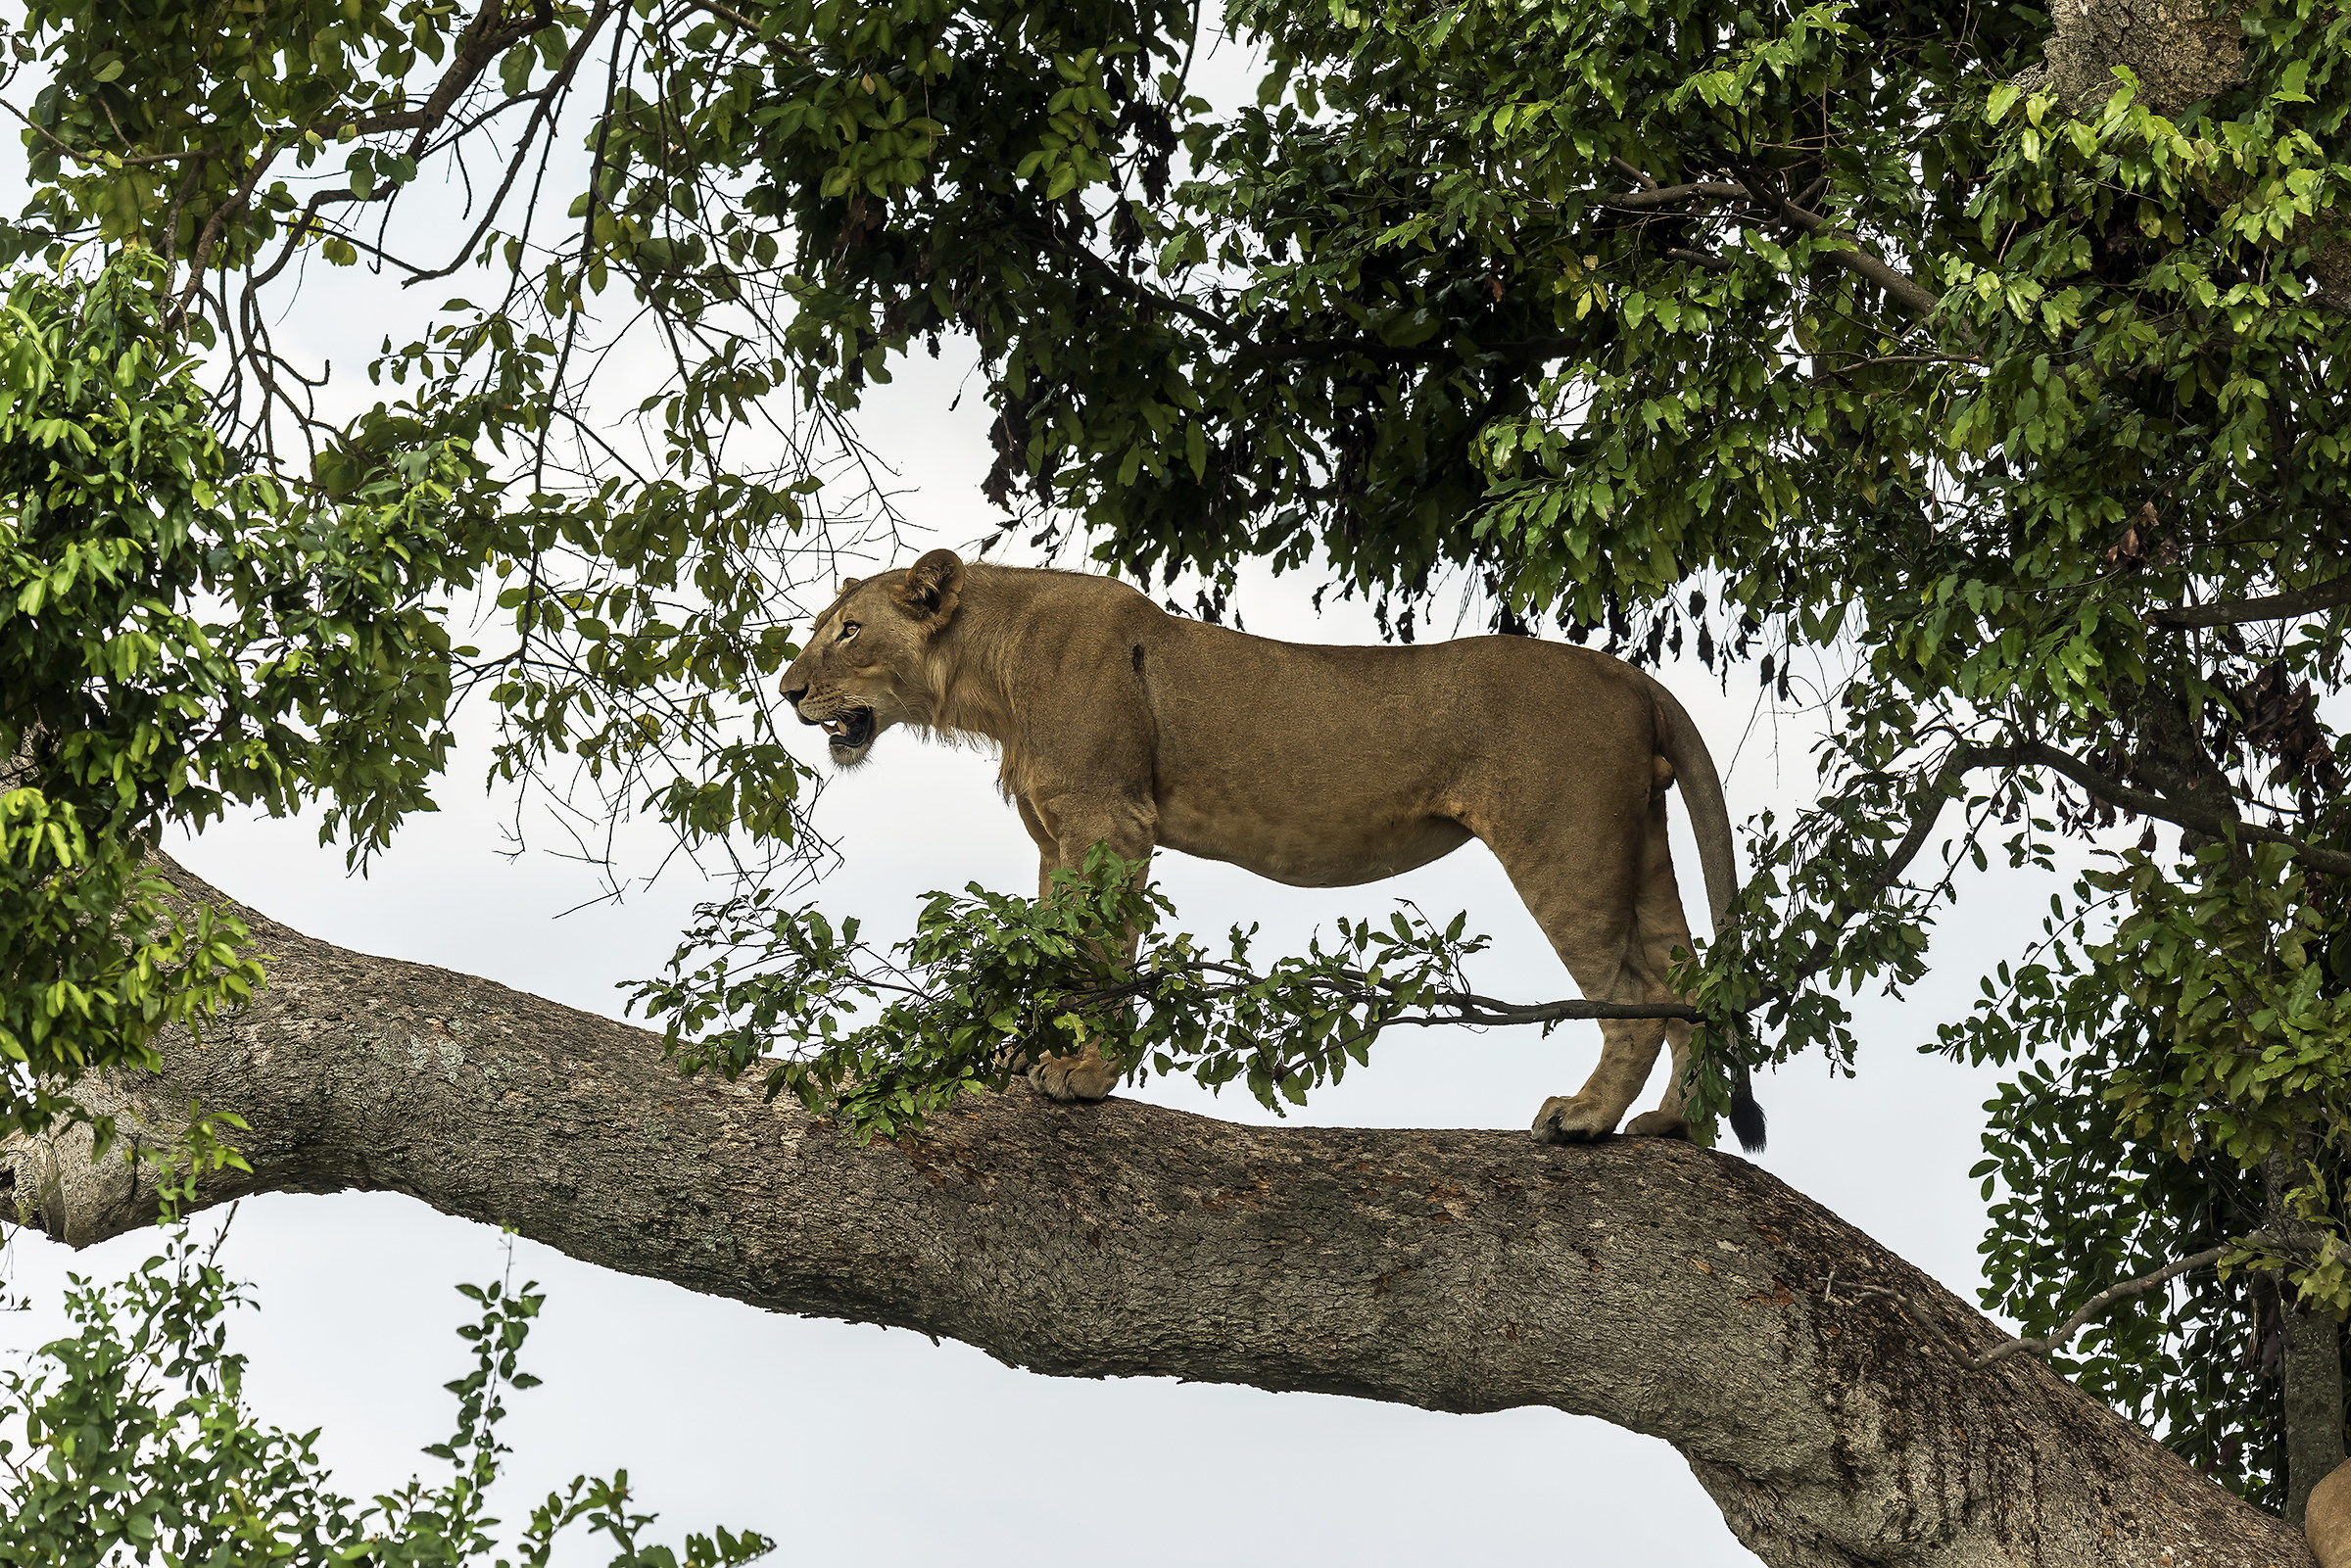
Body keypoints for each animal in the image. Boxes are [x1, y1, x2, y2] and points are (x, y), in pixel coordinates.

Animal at [779, 549, 1760, 1148]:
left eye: (849, 630)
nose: (786, 689)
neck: (989, 670)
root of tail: (1629, 675)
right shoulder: (1059, 837)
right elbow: (1056, 950)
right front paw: (1028, 1056)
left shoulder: (1109, 820)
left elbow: (1101, 956)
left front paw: (1085, 1077)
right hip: (1636, 842)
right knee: (1687, 974)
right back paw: (1671, 1123)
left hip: (1565, 842)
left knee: (1636, 990)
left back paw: (1586, 1117)